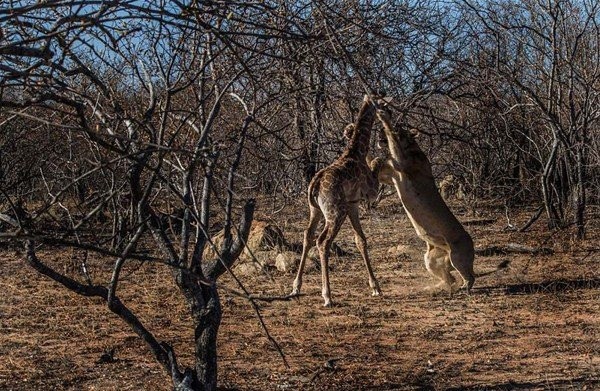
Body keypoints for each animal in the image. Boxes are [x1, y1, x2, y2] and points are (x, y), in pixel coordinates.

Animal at [292, 94, 382, 306]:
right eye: (380, 101)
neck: (356, 151)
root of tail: (315, 185)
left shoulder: (352, 204)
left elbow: (360, 240)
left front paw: (374, 287)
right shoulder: (369, 193)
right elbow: (377, 161)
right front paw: (376, 287)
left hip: (316, 210)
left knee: (308, 235)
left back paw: (296, 286)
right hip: (335, 212)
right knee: (323, 241)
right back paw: (327, 295)